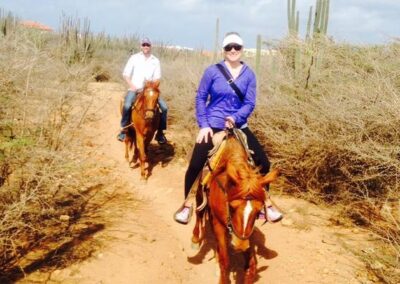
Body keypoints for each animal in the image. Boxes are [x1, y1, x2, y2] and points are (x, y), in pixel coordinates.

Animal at [191, 134, 278, 284]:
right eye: (231, 206)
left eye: (258, 211)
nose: (240, 245)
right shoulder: (219, 225)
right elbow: (225, 260)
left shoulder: (248, 232)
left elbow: (252, 265)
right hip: (200, 194)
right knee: (199, 212)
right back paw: (196, 239)